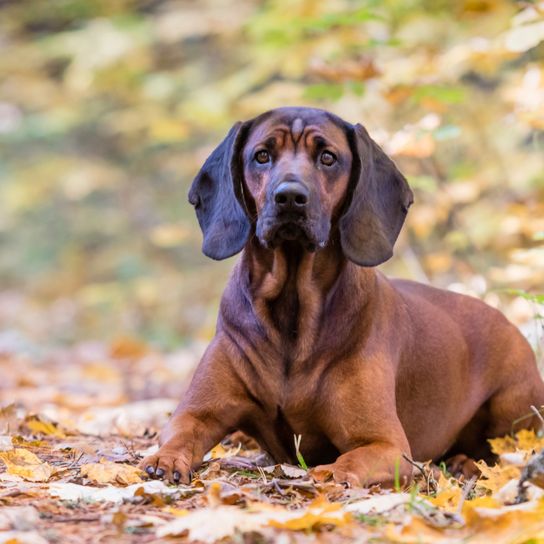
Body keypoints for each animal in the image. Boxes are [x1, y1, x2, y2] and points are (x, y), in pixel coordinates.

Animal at [141, 107, 544, 488]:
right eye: (261, 155)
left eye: (328, 157)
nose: (290, 197)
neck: (292, 309)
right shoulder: (197, 413)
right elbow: (179, 433)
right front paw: (165, 460)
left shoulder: (387, 444)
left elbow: (350, 461)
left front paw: (327, 474)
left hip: (513, 406)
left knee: (500, 451)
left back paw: (465, 464)